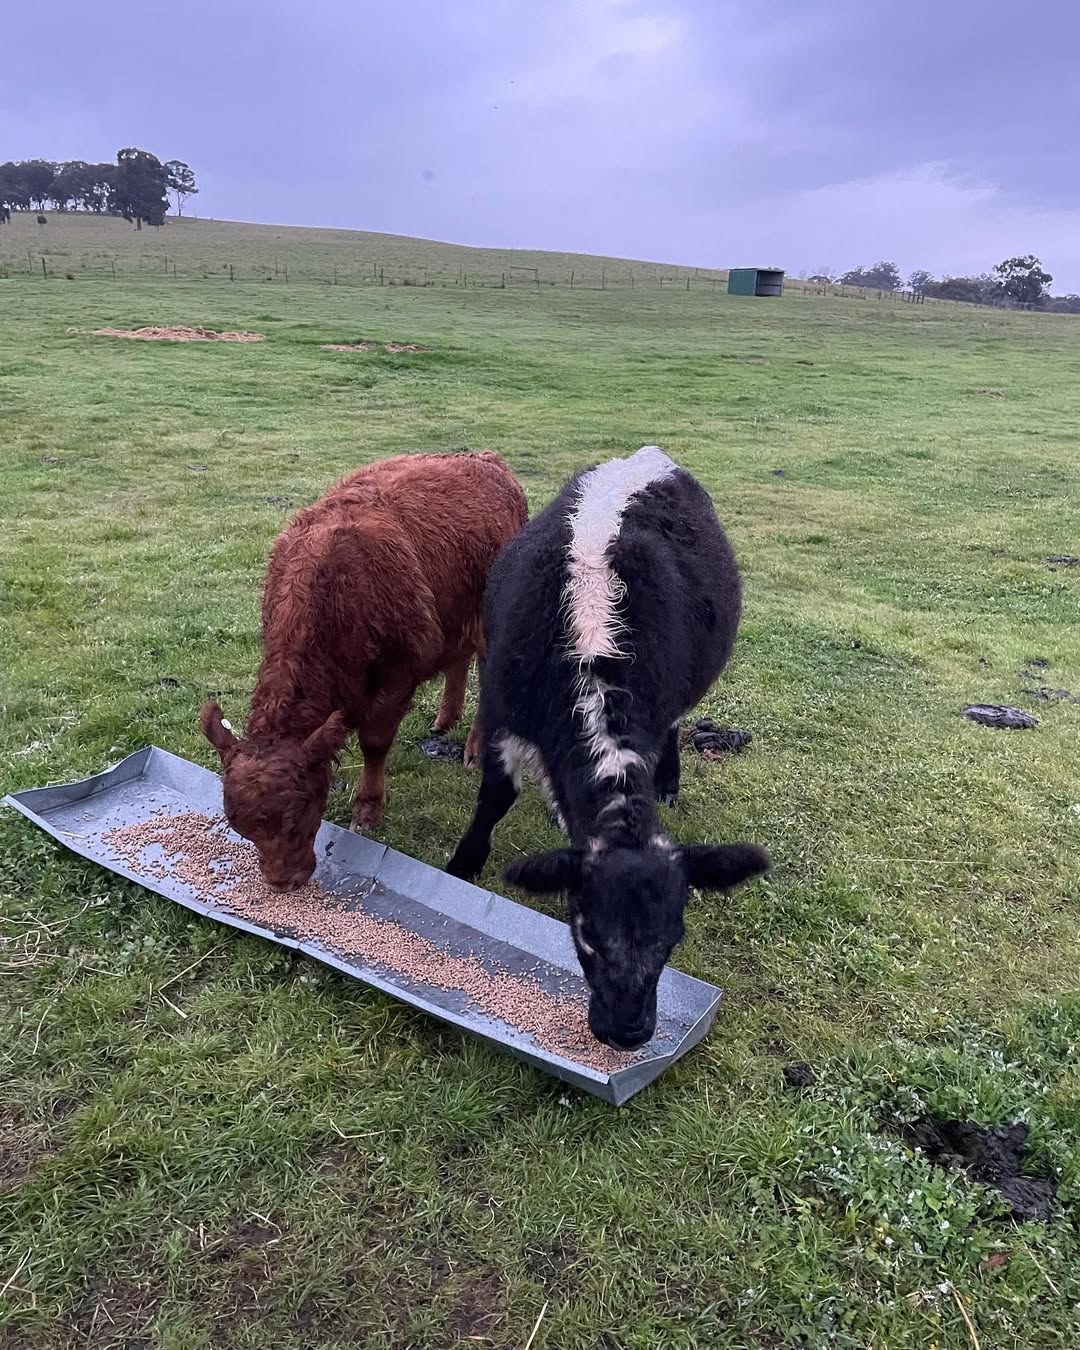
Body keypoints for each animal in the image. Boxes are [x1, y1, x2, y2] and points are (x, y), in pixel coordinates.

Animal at [201, 451, 528, 892]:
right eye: (241, 828)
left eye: (301, 813)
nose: (282, 883)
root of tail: (485, 459)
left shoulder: (397, 676)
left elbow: (374, 744)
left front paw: (367, 809)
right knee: (458, 661)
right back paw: (445, 718)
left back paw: (475, 749)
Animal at [447, 446, 769, 1050]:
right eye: (586, 932)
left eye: (674, 938)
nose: (628, 1032)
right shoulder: (500, 710)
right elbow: (495, 796)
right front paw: (462, 864)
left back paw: (667, 783)